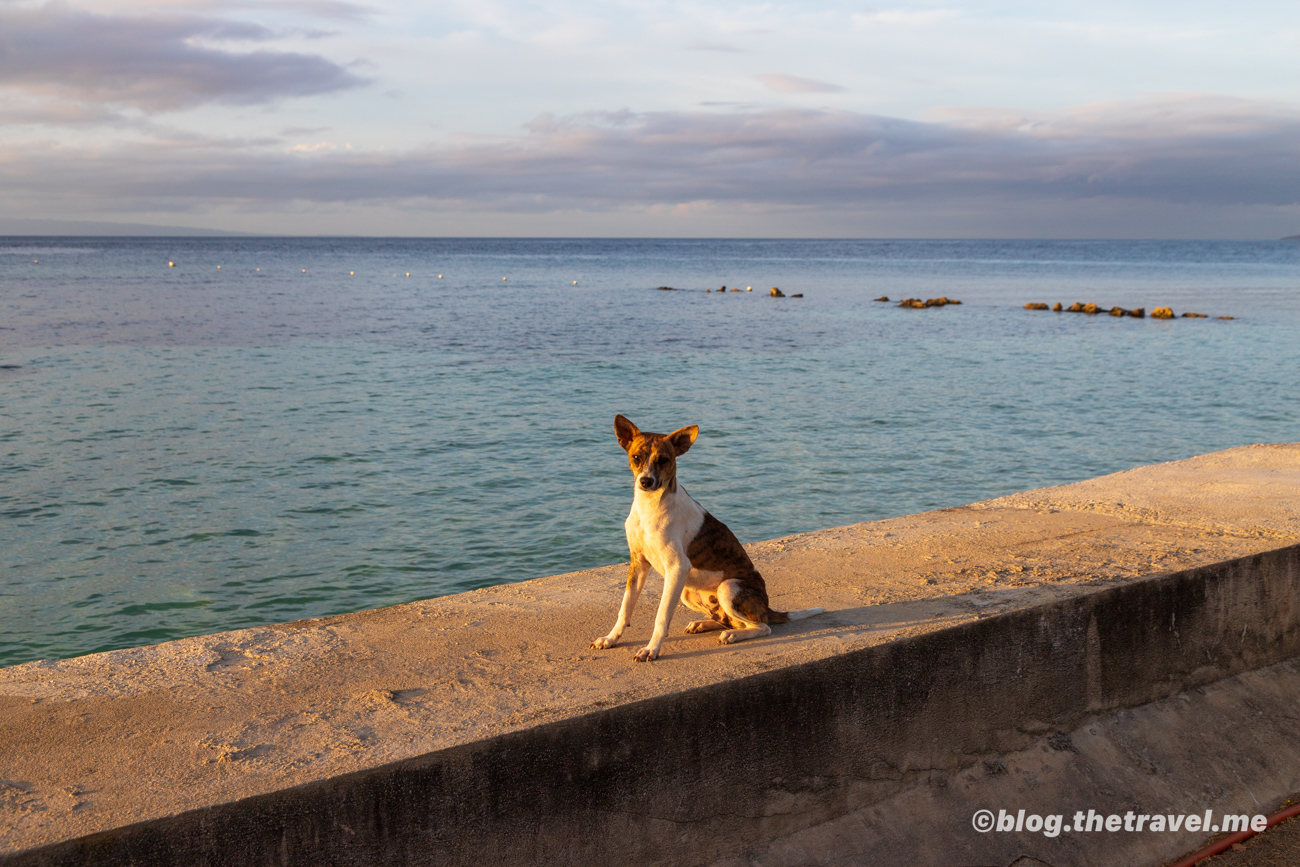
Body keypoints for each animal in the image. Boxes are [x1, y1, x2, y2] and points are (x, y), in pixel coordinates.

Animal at [592, 415, 821, 660]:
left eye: (664, 460)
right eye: (636, 457)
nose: (646, 481)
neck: (650, 507)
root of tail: (766, 607)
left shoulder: (677, 567)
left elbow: (661, 616)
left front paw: (651, 649)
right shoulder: (638, 562)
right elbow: (625, 608)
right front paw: (611, 638)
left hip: (728, 588)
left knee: (760, 626)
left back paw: (733, 635)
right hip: (687, 593)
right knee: (726, 620)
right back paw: (705, 624)